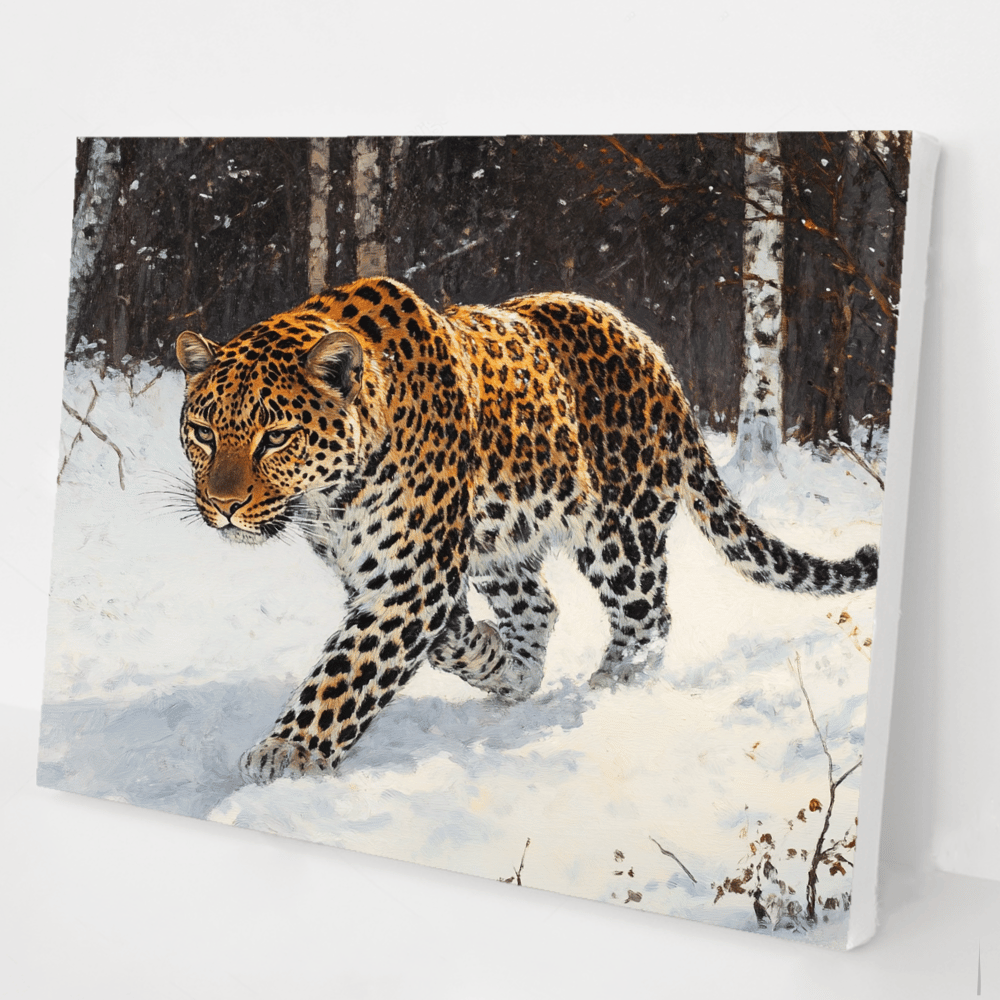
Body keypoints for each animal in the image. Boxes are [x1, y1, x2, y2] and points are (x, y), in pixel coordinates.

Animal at [175, 276, 878, 785]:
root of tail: (655, 355)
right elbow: (428, 640)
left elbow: (346, 673)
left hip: (620, 531)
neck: (329, 500)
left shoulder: (411, 579)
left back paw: (614, 690)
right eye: (204, 432)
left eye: (275, 436)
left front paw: (287, 752)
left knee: (648, 617)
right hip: (507, 538)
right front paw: (488, 655)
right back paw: (515, 673)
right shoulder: (380, 573)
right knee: (540, 603)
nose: (222, 505)